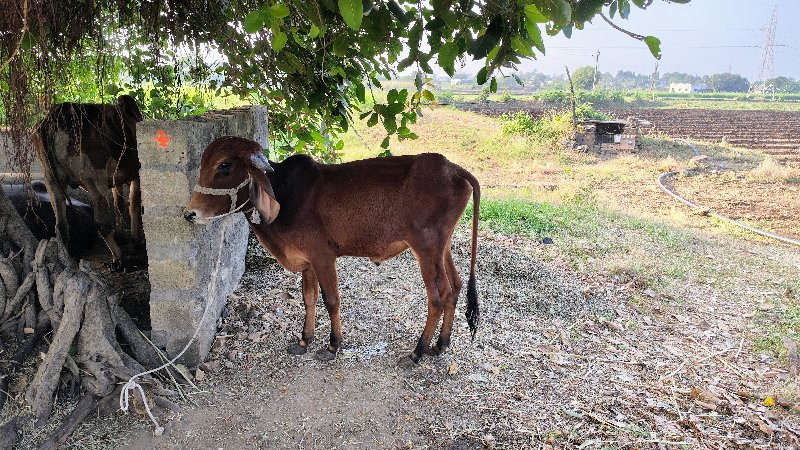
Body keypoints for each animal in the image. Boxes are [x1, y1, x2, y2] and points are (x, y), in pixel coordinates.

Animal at [34, 95, 144, 268]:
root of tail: (49, 121)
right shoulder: (136, 174)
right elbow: (133, 205)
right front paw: (135, 239)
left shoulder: (117, 178)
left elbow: (119, 204)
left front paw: (121, 236)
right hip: (96, 179)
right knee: (101, 223)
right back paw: (118, 258)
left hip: (51, 180)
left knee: (61, 226)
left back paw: (68, 260)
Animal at [184, 135, 478, 364]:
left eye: (225, 166)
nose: (190, 213)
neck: (285, 195)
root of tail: (452, 168)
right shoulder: (307, 261)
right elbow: (309, 299)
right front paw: (304, 340)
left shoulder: (323, 257)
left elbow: (331, 300)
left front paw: (333, 345)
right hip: (443, 247)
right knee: (455, 287)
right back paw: (441, 344)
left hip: (426, 248)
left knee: (438, 297)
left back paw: (418, 352)